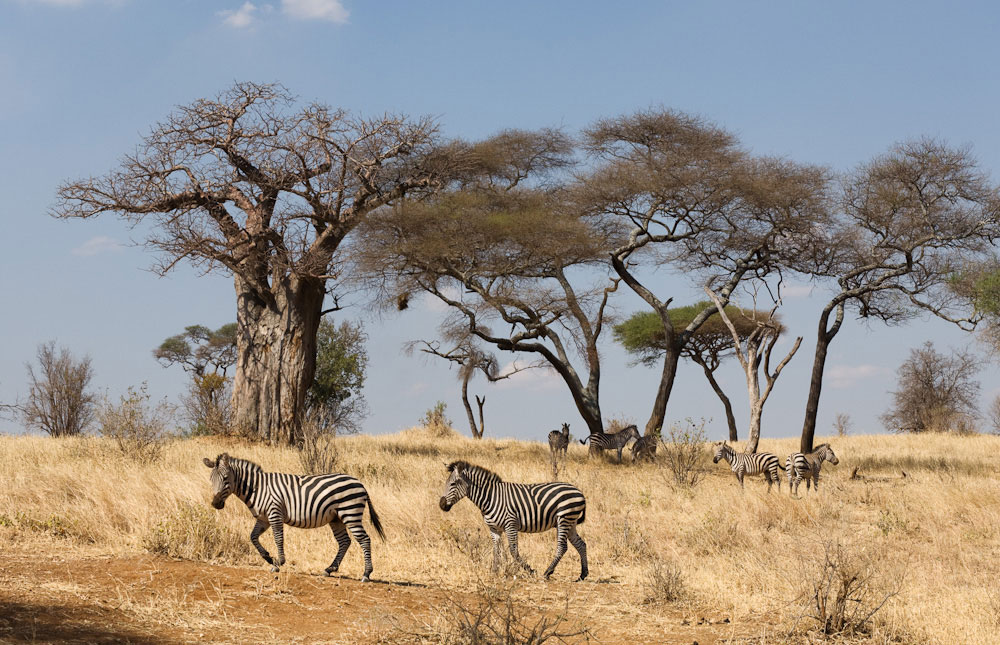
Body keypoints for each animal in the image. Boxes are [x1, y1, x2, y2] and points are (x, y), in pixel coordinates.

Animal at [201, 450, 384, 580]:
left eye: (226, 478)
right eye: (210, 479)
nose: (215, 504)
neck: (257, 488)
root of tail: (359, 483)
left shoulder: (274, 513)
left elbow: (278, 538)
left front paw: (278, 563)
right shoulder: (263, 518)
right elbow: (253, 537)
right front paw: (268, 557)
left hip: (350, 513)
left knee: (364, 539)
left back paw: (366, 574)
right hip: (336, 518)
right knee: (345, 542)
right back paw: (329, 569)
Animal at [438, 460, 584, 580]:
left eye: (453, 483)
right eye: (446, 483)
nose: (441, 505)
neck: (490, 497)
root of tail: (578, 491)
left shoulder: (510, 525)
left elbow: (513, 551)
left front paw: (530, 571)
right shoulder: (494, 528)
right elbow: (496, 550)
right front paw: (494, 571)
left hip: (564, 518)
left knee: (562, 547)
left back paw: (547, 572)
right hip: (570, 522)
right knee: (580, 544)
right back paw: (583, 574)